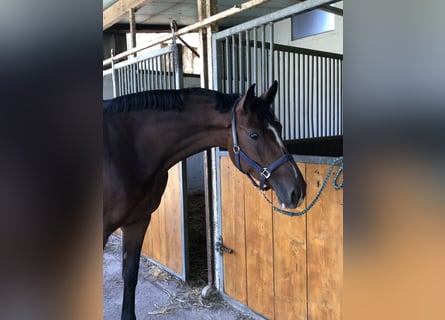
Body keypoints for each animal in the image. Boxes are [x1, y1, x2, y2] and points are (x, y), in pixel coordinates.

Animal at [103, 82, 306, 320]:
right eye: (254, 134)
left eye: (279, 127)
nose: (298, 191)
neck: (128, 149)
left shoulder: (138, 221)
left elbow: (130, 274)